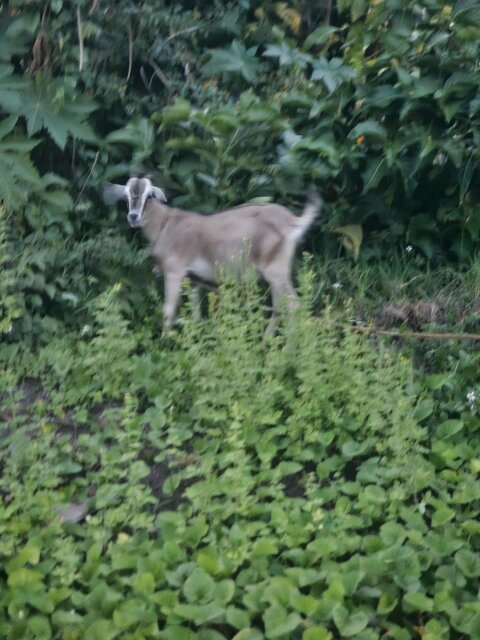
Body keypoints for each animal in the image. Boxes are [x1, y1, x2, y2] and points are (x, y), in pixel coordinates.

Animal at [104, 177, 322, 335]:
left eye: (148, 196)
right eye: (126, 196)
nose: (133, 217)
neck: (166, 223)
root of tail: (293, 221)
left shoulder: (174, 272)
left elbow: (168, 311)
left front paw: (164, 345)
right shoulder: (193, 279)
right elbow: (196, 314)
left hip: (275, 271)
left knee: (294, 306)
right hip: (276, 275)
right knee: (278, 307)